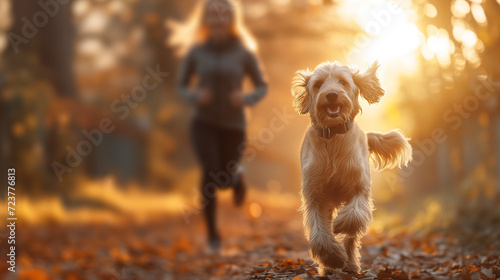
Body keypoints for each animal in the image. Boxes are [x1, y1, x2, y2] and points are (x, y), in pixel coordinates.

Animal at [292, 61, 412, 276]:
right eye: (318, 84)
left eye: (343, 81)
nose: (331, 94)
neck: (333, 138)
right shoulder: (315, 195)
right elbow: (319, 232)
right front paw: (332, 258)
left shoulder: (359, 187)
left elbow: (353, 217)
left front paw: (340, 226)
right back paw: (329, 267)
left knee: (351, 237)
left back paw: (351, 265)